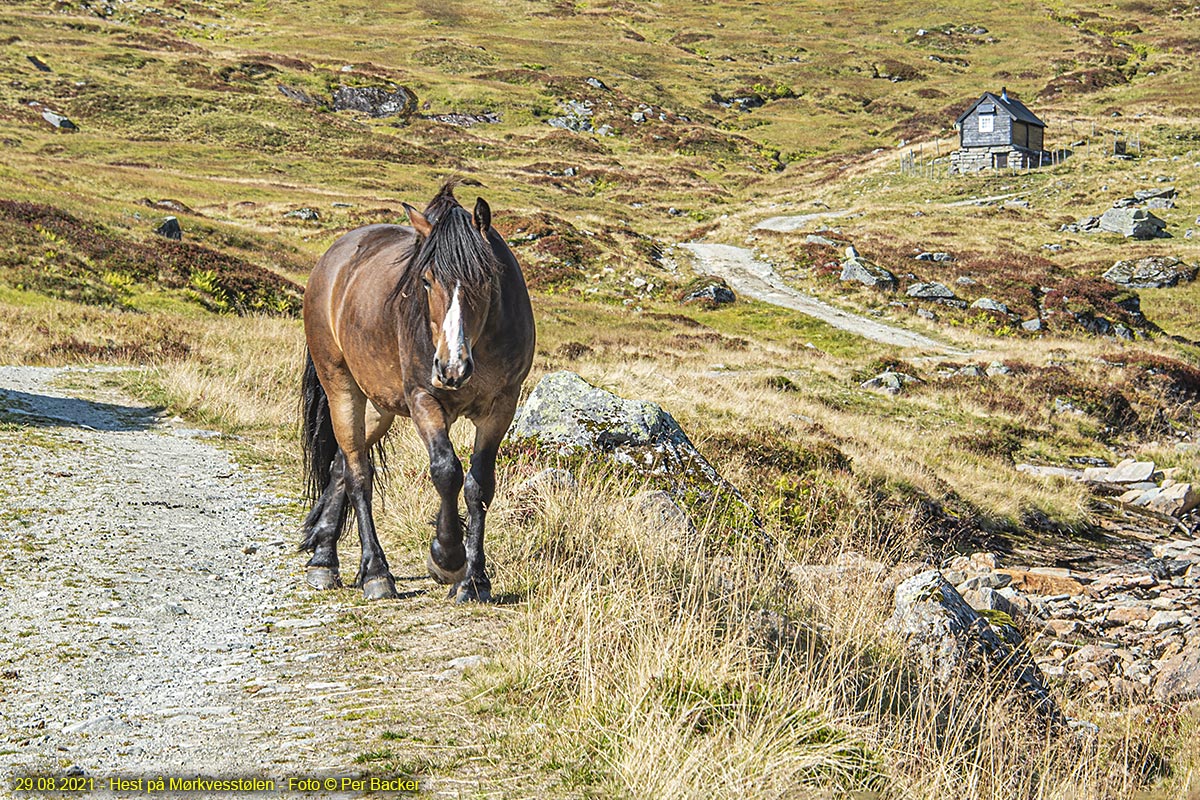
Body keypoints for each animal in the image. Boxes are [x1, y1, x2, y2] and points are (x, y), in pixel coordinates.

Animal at [297, 181, 537, 604]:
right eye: (425, 281)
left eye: (485, 279)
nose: (451, 368)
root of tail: (333, 258)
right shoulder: (425, 400)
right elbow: (445, 471)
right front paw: (447, 558)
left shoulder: (501, 406)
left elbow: (479, 484)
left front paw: (474, 581)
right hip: (341, 385)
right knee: (358, 475)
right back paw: (375, 573)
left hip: (379, 406)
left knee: (340, 465)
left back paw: (324, 559)